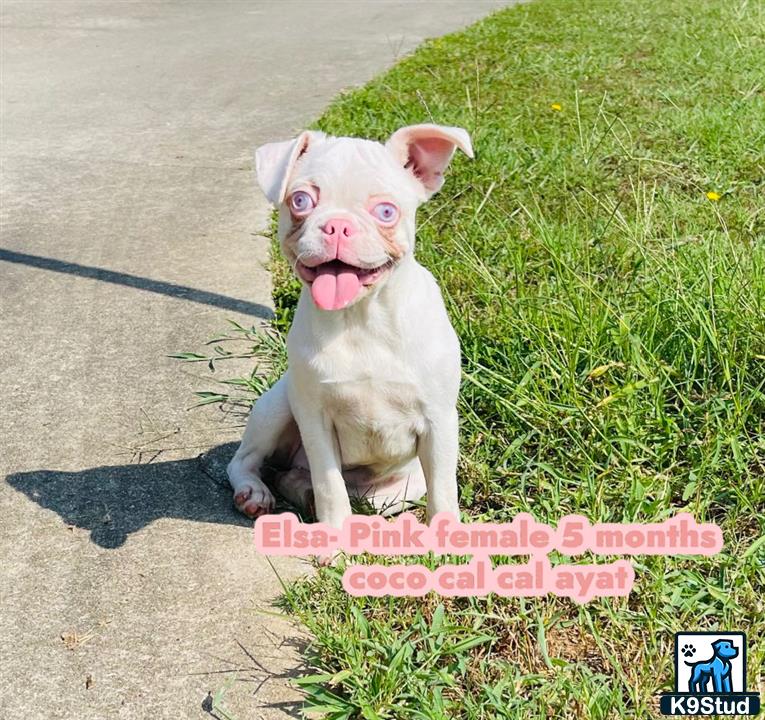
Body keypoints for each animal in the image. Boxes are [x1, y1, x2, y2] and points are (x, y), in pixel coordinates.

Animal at [227, 125, 468, 528]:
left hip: (403, 484)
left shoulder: (439, 421)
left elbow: (444, 491)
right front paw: (334, 530)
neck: (360, 318)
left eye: (386, 211)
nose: (337, 225)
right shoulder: (315, 420)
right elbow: (329, 485)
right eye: (301, 201)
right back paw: (255, 492)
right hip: (278, 404)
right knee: (246, 461)